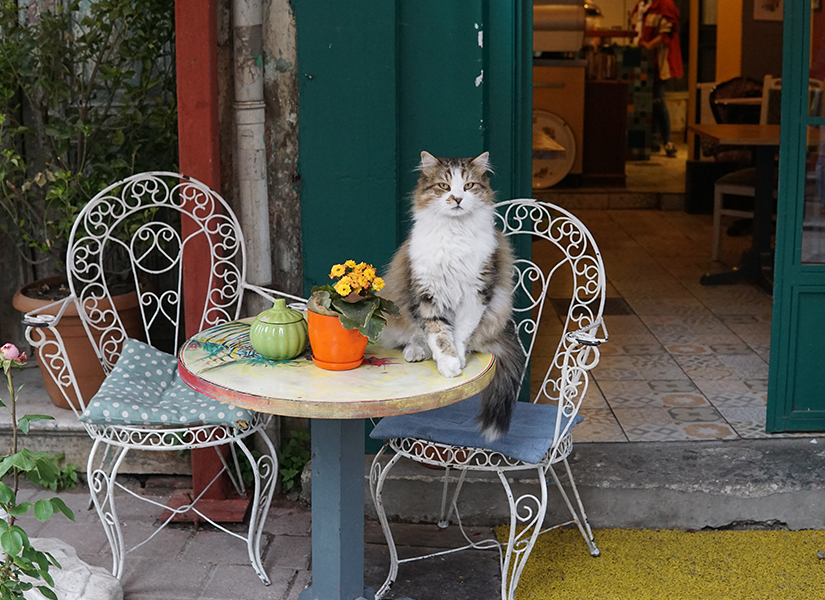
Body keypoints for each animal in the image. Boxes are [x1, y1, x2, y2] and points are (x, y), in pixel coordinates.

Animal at [378, 150, 520, 440]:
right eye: (444, 186)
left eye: (468, 185)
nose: (457, 198)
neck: (455, 234)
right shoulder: (427, 294)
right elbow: (438, 334)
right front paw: (448, 362)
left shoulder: (476, 293)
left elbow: (462, 333)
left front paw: (458, 358)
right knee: (415, 334)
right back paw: (415, 352)